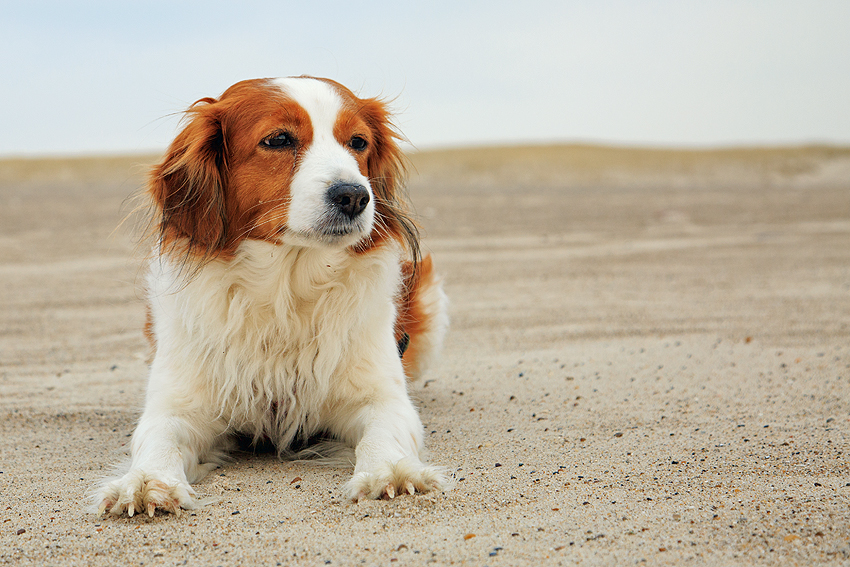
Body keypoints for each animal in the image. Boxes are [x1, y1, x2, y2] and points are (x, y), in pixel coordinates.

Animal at [92, 76, 448, 520]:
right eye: (278, 139)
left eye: (358, 142)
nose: (354, 196)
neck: (285, 293)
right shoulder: (177, 407)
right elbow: (158, 440)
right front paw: (146, 481)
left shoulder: (381, 397)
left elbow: (383, 433)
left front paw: (392, 470)